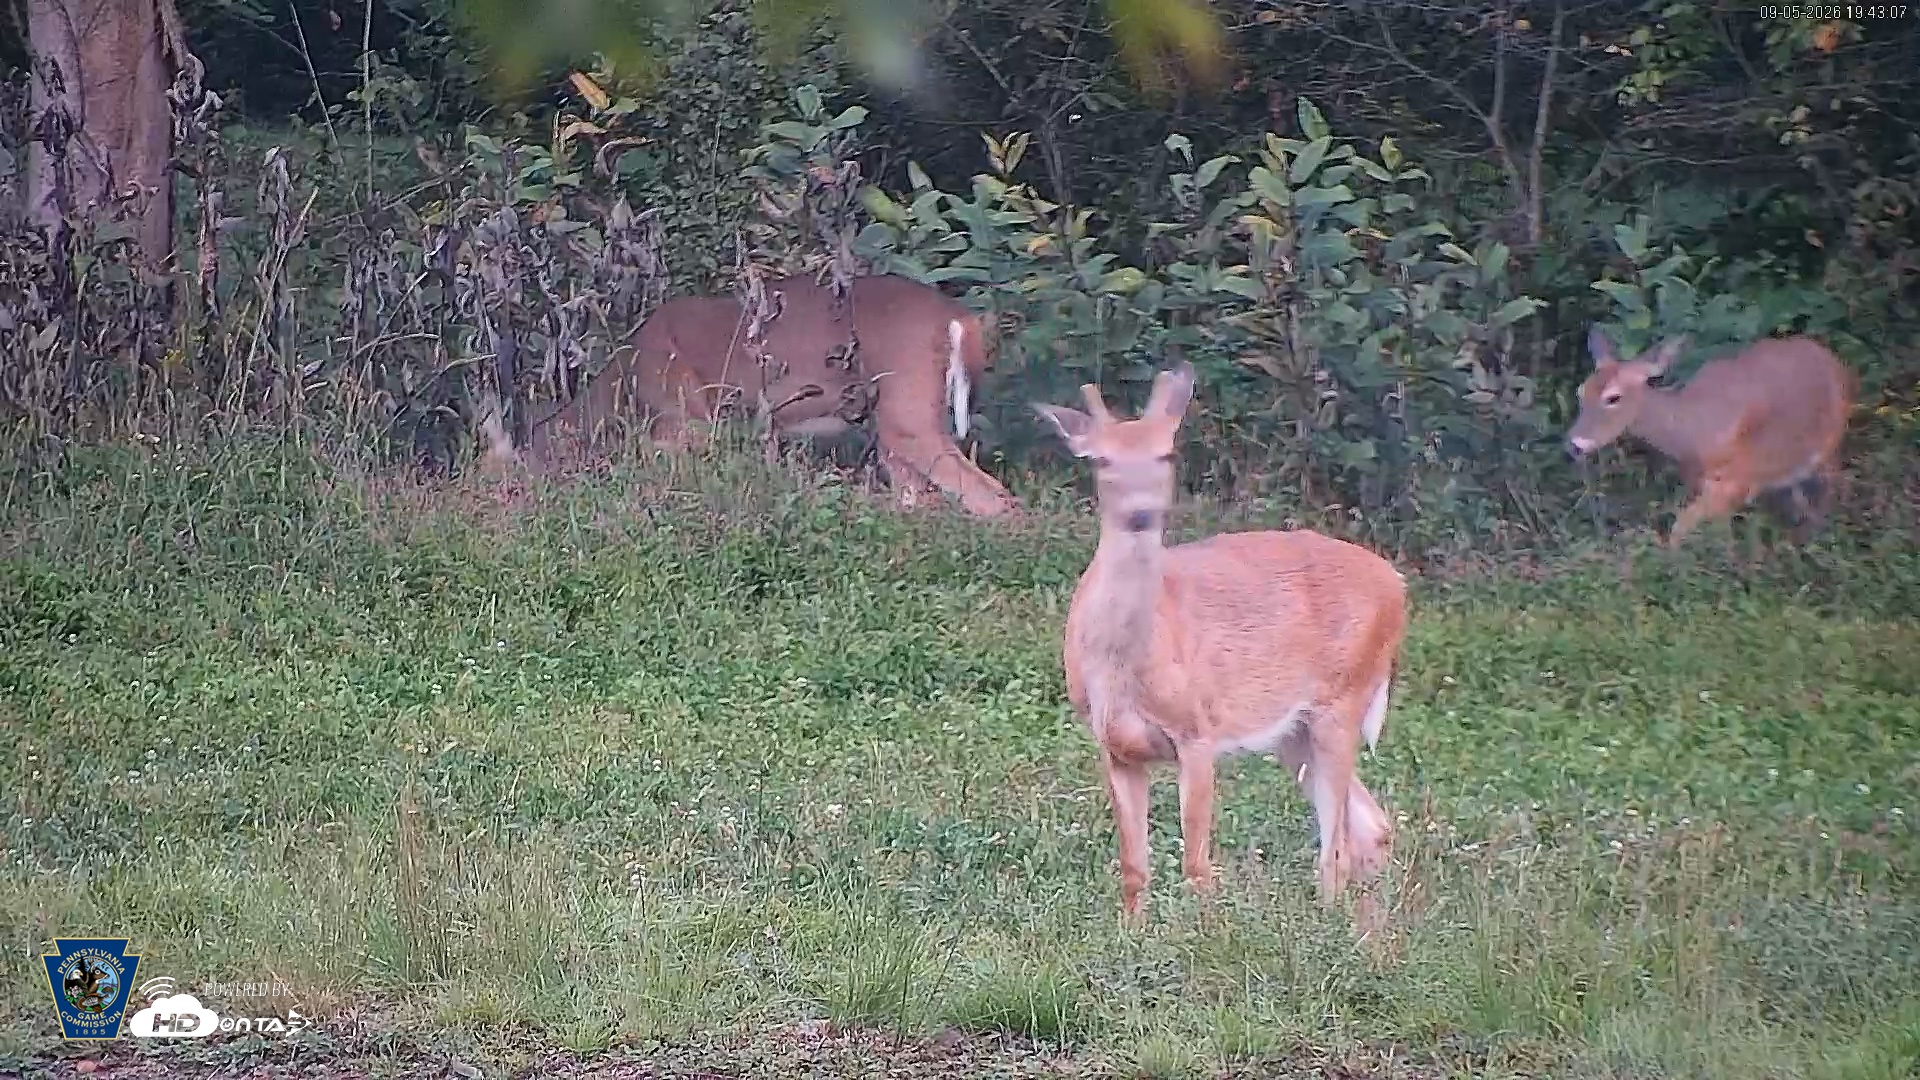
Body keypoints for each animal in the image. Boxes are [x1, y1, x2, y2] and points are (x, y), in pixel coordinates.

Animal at [479, 273, 1022, 518]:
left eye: (495, 478)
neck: (623, 387)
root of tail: (962, 323)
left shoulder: (687, 424)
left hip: (906, 410)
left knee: (994, 497)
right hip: (891, 423)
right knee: (920, 496)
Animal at [1033, 361, 1407, 926]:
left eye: (1166, 454)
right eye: (1099, 459)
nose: (1141, 514)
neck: (1125, 666)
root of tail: (1399, 587)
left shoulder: (1198, 731)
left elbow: (1196, 864)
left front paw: (1203, 935)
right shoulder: (1114, 745)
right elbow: (1133, 866)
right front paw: (1131, 932)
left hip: (1343, 697)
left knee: (1337, 843)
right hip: (1292, 732)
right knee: (1370, 827)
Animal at [1566, 329, 1858, 548]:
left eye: (1613, 397)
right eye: (1581, 391)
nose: (1575, 443)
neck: (1693, 431)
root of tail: (1832, 358)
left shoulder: (1736, 482)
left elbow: (1678, 530)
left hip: (1830, 442)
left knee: (1836, 485)